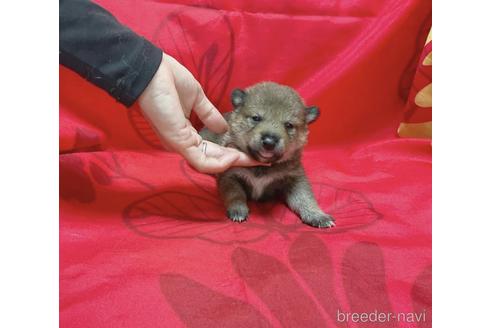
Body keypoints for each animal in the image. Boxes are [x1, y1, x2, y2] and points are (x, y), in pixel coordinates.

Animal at [200, 81, 334, 228]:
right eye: (256, 118)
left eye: (289, 125)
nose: (269, 141)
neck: (262, 166)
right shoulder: (229, 175)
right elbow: (235, 193)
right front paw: (238, 209)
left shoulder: (296, 179)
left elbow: (305, 198)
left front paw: (317, 215)